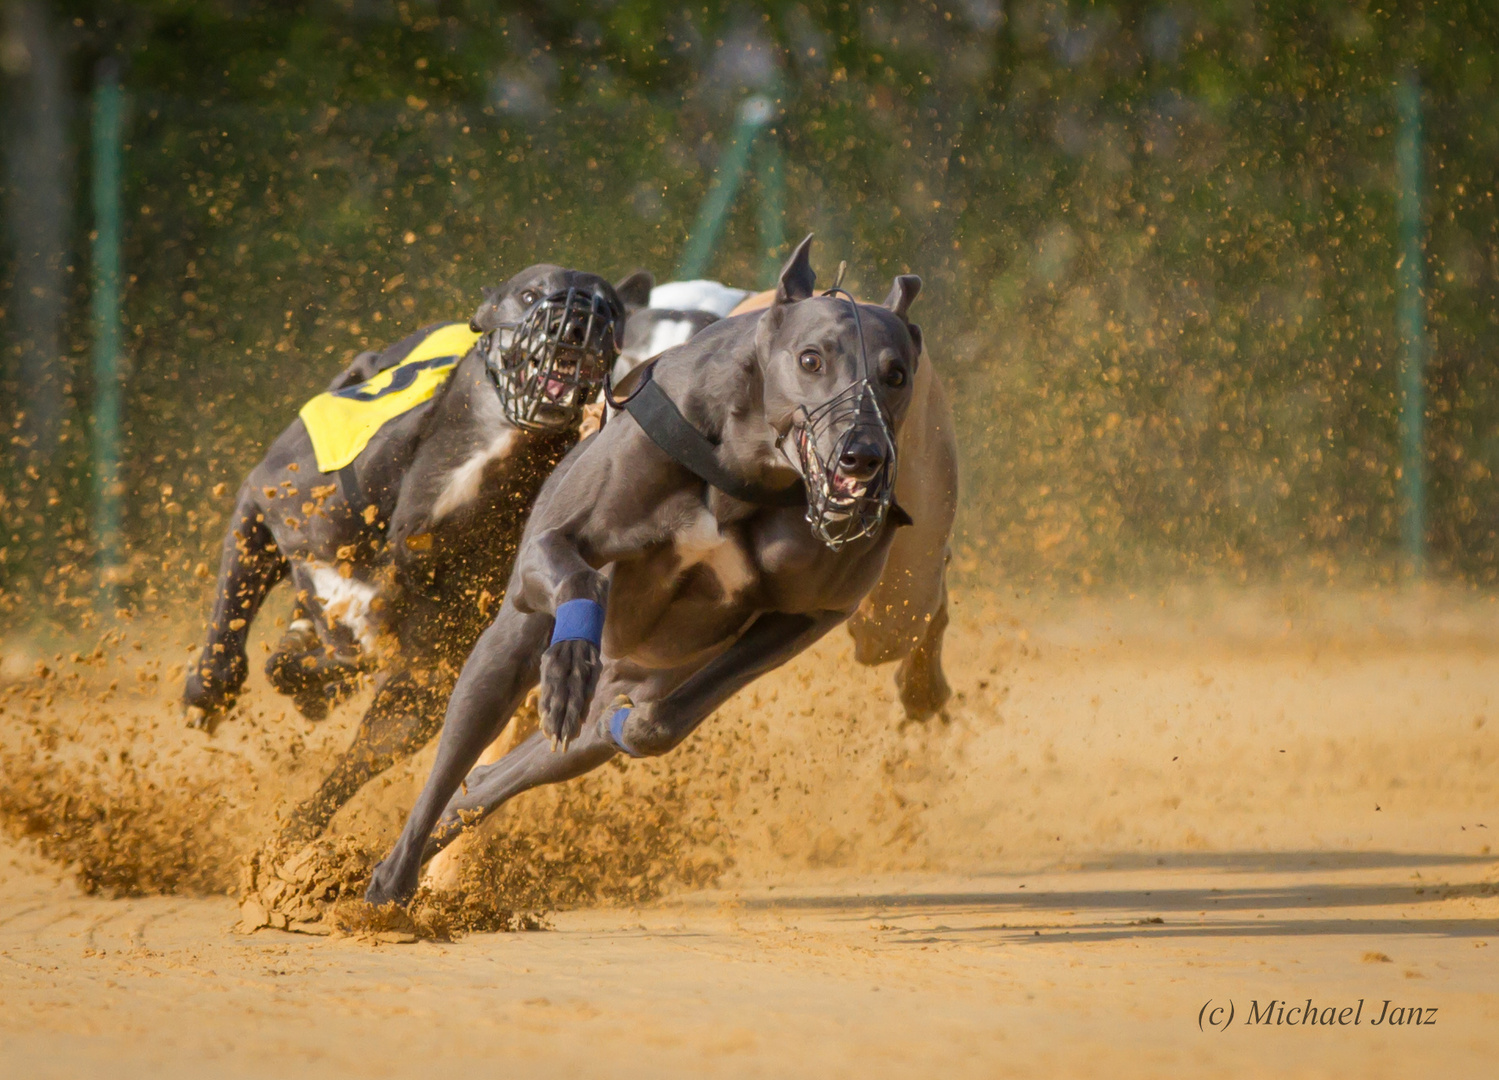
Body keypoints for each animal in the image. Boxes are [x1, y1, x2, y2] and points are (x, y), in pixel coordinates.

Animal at [181, 261, 650, 846]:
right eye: (529, 293)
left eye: (612, 309)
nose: (582, 320)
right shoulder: (263, 503)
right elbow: (230, 634)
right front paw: (208, 693)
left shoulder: (423, 679)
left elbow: (363, 736)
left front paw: (296, 838)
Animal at [365, 237, 923, 900]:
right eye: (811, 358)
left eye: (897, 374)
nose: (862, 455)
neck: (745, 470)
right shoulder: (551, 546)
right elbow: (576, 572)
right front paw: (568, 668)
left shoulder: (811, 612)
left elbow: (656, 725)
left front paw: (618, 722)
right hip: (509, 640)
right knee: (474, 722)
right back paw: (391, 879)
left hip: (643, 673)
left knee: (542, 756)